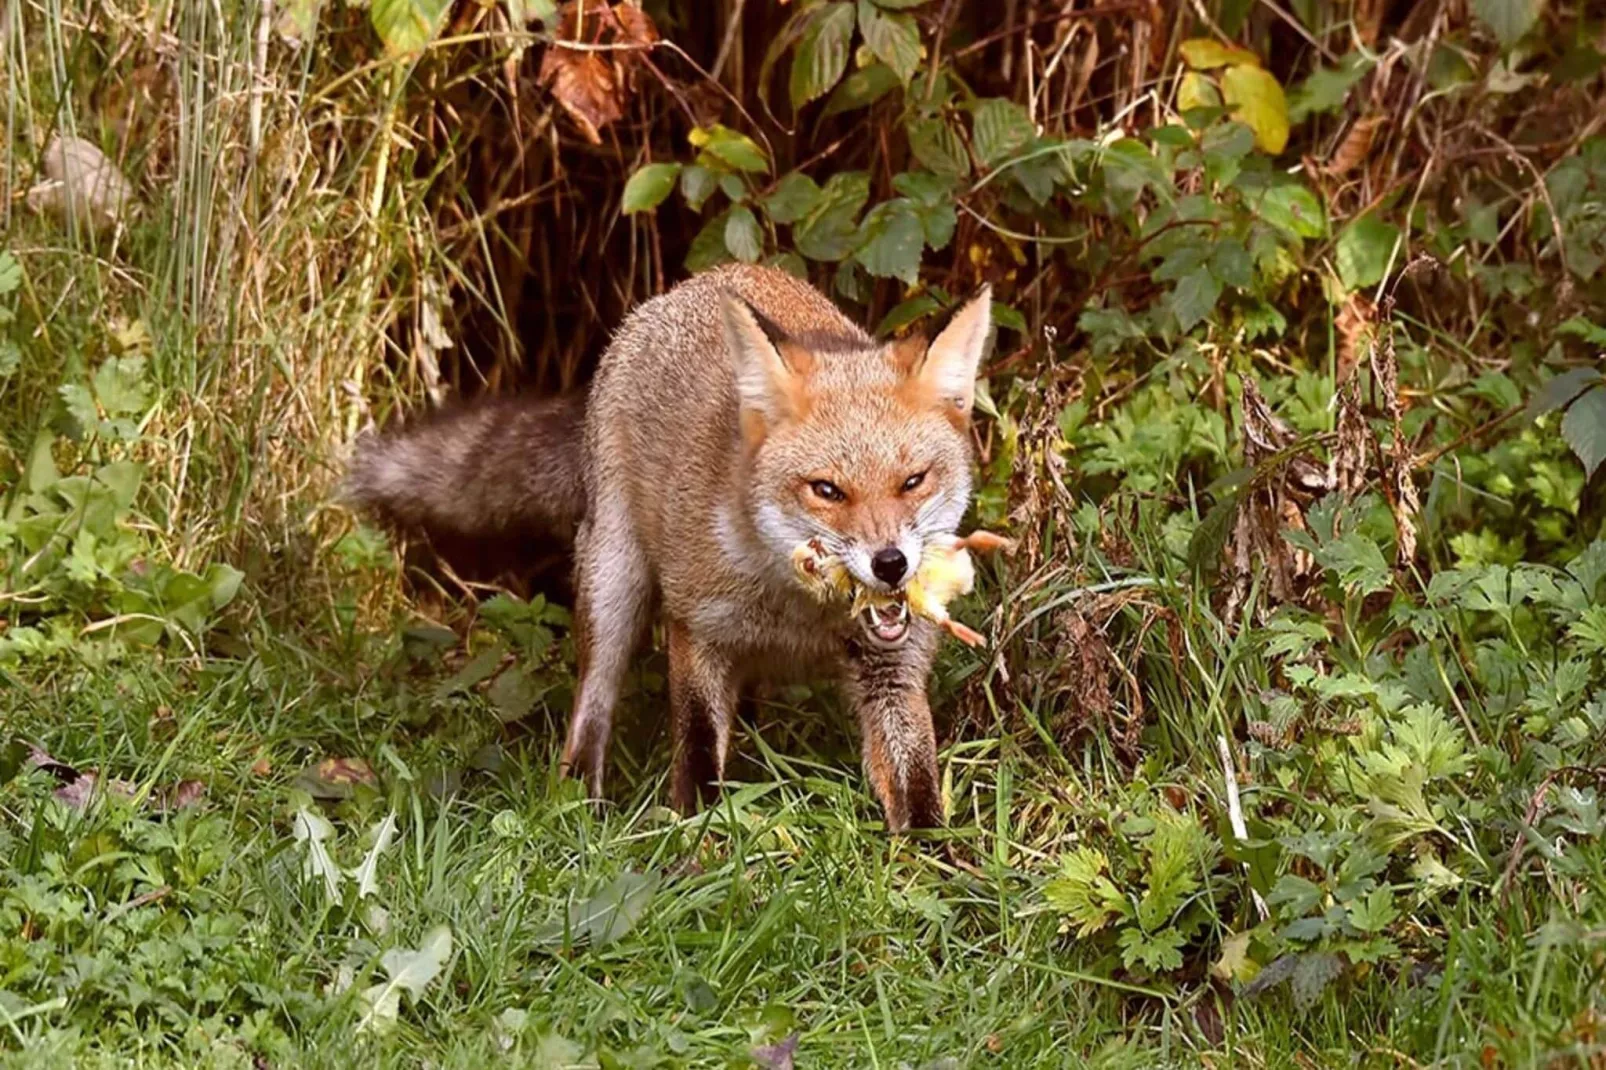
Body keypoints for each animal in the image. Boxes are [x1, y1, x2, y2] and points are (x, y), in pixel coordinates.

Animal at [343, 261, 989, 829]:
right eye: (827, 490)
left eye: (913, 481)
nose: (891, 565)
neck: (799, 612)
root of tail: (705, 278)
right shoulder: (696, 627)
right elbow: (698, 751)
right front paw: (698, 842)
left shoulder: (892, 669)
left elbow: (918, 789)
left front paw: (940, 873)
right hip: (612, 585)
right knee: (591, 709)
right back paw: (581, 803)